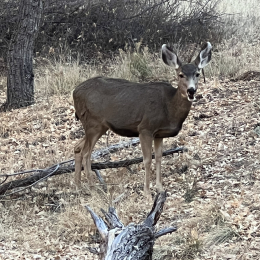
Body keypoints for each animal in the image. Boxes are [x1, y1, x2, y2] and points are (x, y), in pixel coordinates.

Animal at [72, 42, 211, 199]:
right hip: (93, 122)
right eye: (180, 74)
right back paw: (93, 189)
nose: (191, 90)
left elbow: (159, 157)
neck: (169, 107)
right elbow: (147, 160)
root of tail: (74, 92)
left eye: (197, 74)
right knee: (86, 153)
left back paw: (78, 187)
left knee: (77, 147)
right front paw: (147, 193)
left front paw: (160, 188)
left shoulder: (159, 133)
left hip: (98, 126)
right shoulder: (145, 128)